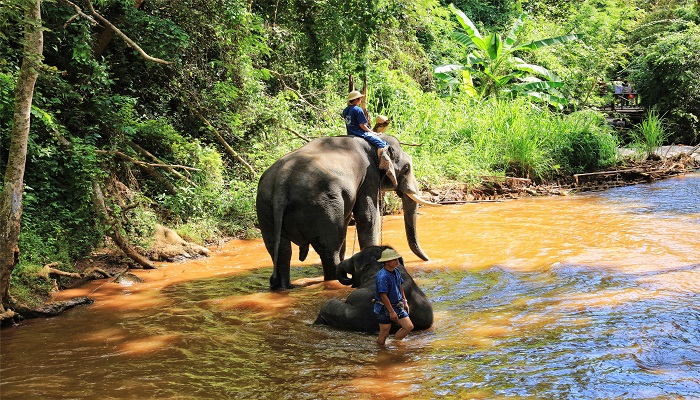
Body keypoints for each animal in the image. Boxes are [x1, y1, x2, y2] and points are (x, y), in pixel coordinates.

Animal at [256, 134, 438, 290]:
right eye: (406, 168)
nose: (429, 259)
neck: (375, 143)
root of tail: (281, 183)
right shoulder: (368, 177)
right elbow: (368, 217)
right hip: (320, 205)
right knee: (329, 248)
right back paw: (337, 278)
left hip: (265, 208)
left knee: (280, 250)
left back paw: (285, 287)